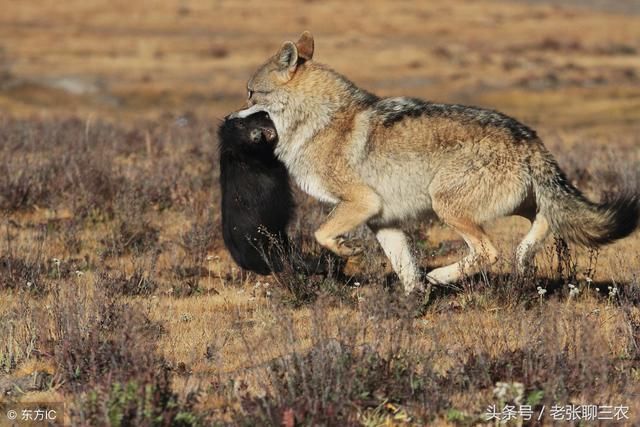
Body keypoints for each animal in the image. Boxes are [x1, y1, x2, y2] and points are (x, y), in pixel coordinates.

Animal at [232, 30, 636, 294]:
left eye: (250, 93)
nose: (232, 116)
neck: (320, 121)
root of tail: (528, 138)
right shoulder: (381, 219)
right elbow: (405, 270)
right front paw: (413, 306)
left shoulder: (361, 203)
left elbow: (321, 234)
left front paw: (347, 251)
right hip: (515, 203)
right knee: (545, 223)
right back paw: (521, 259)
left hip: (447, 205)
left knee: (489, 251)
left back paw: (443, 276)